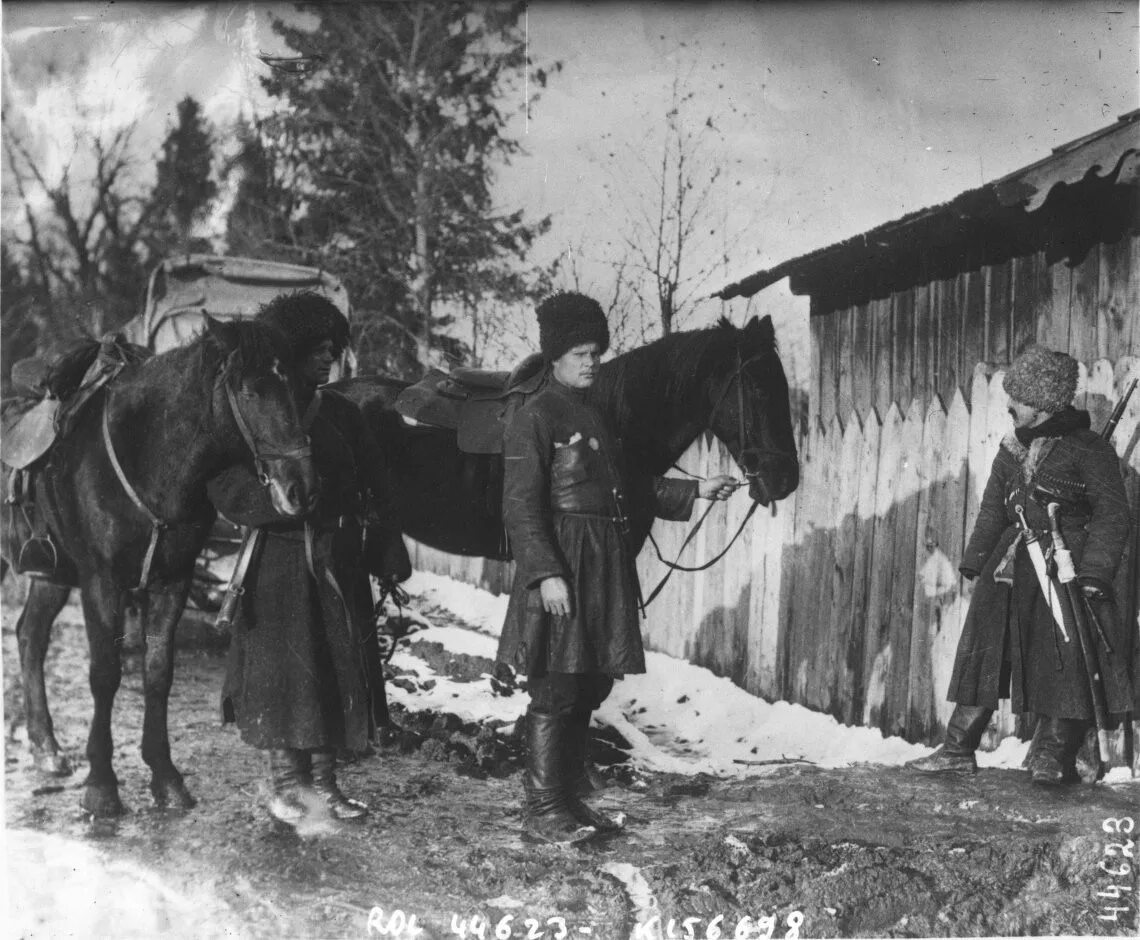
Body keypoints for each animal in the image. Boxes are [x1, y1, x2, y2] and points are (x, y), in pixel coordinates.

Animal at [4, 319, 319, 815]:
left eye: (298, 387)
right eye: (250, 391)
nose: (301, 489)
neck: (148, 457)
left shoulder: (172, 580)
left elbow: (158, 671)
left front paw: (165, 776)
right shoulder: (101, 583)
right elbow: (105, 674)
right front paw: (101, 785)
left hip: (50, 576)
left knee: (30, 637)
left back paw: (47, 748)